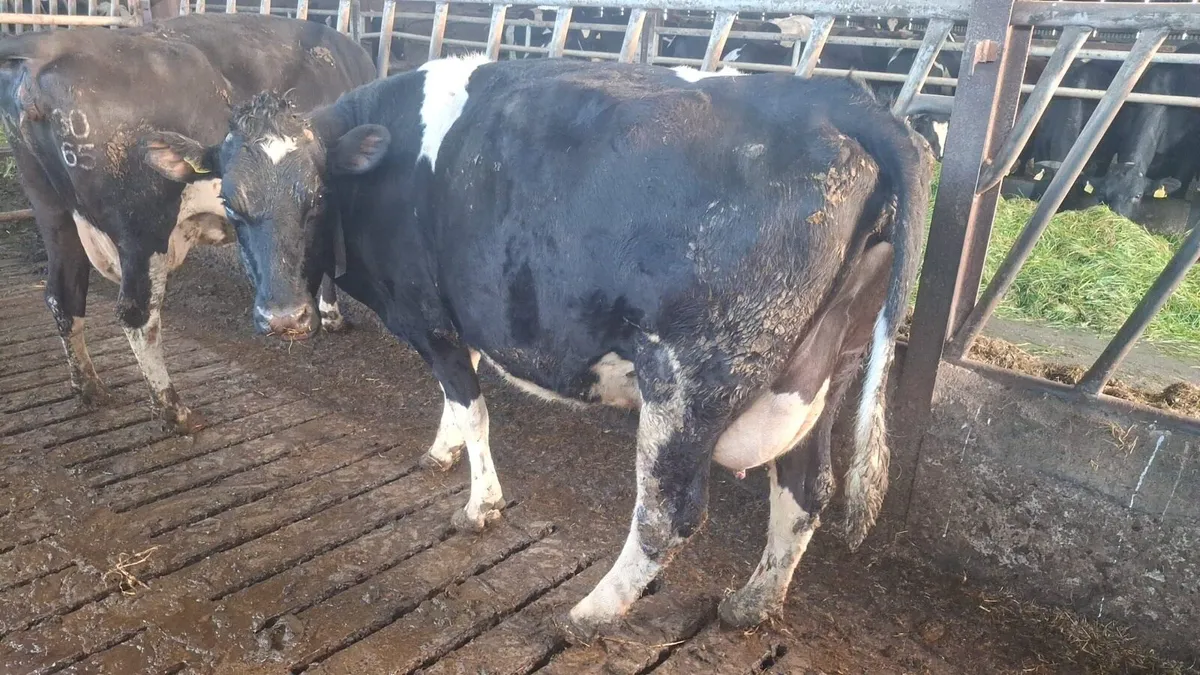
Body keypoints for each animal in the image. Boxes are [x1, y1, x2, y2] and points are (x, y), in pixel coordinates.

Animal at [0, 13, 375, 434]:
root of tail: (50, 47)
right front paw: (332, 315)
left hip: (53, 211)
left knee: (62, 296)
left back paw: (90, 387)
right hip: (141, 228)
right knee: (136, 314)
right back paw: (175, 411)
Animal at [141, 57, 931, 636]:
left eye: (314, 199)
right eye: (234, 202)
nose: (282, 318)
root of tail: (837, 97)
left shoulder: (431, 315)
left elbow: (472, 405)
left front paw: (480, 504)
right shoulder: (459, 320)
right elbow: (456, 399)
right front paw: (441, 452)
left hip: (692, 374)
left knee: (668, 513)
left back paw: (590, 613)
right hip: (825, 364)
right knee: (806, 489)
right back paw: (749, 604)